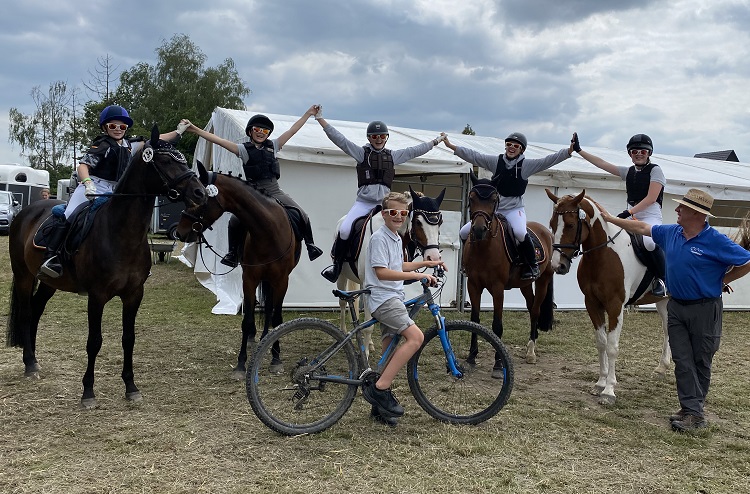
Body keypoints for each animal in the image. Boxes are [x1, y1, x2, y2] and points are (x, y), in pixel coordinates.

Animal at [8, 127, 209, 410]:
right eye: (166, 161)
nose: (201, 193)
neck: (121, 232)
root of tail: (27, 211)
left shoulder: (134, 294)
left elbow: (129, 339)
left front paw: (131, 387)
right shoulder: (97, 296)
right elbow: (94, 341)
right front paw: (88, 392)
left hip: (49, 282)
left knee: (36, 310)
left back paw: (34, 361)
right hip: (24, 275)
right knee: (26, 313)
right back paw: (28, 365)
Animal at [176, 162, 302, 378]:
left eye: (199, 196)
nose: (179, 232)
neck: (268, 231)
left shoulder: (281, 280)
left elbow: (277, 318)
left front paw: (276, 359)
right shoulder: (249, 279)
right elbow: (247, 320)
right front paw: (241, 364)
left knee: (269, 310)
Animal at [464, 172, 560, 368]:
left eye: (494, 199)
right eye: (471, 198)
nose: (479, 230)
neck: (484, 247)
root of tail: (547, 232)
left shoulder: (498, 288)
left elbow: (497, 325)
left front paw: (498, 363)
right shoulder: (473, 285)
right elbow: (475, 320)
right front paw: (471, 357)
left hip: (543, 281)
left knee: (536, 310)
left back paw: (531, 351)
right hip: (525, 284)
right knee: (531, 306)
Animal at [544, 189, 672, 406]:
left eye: (570, 225)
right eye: (552, 224)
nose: (557, 266)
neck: (602, 254)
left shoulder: (615, 305)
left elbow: (612, 346)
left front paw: (609, 391)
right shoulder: (592, 303)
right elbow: (601, 342)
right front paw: (600, 383)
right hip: (663, 302)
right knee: (667, 330)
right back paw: (662, 368)